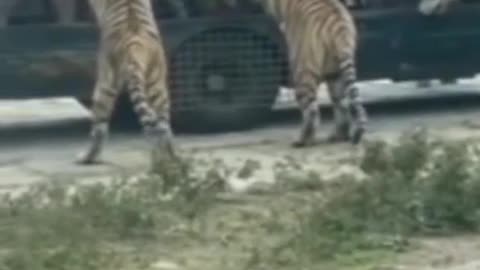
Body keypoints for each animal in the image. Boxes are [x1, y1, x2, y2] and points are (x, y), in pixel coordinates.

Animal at [77, 0, 176, 165]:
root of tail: (134, 44)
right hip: (157, 84)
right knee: (162, 126)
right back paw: (168, 157)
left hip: (106, 82)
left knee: (99, 129)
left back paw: (87, 157)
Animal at [225, 0, 368, 147]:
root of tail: (338, 24)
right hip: (335, 73)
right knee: (342, 104)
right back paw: (339, 136)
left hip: (302, 69)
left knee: (312, 111)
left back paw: (303, 141)